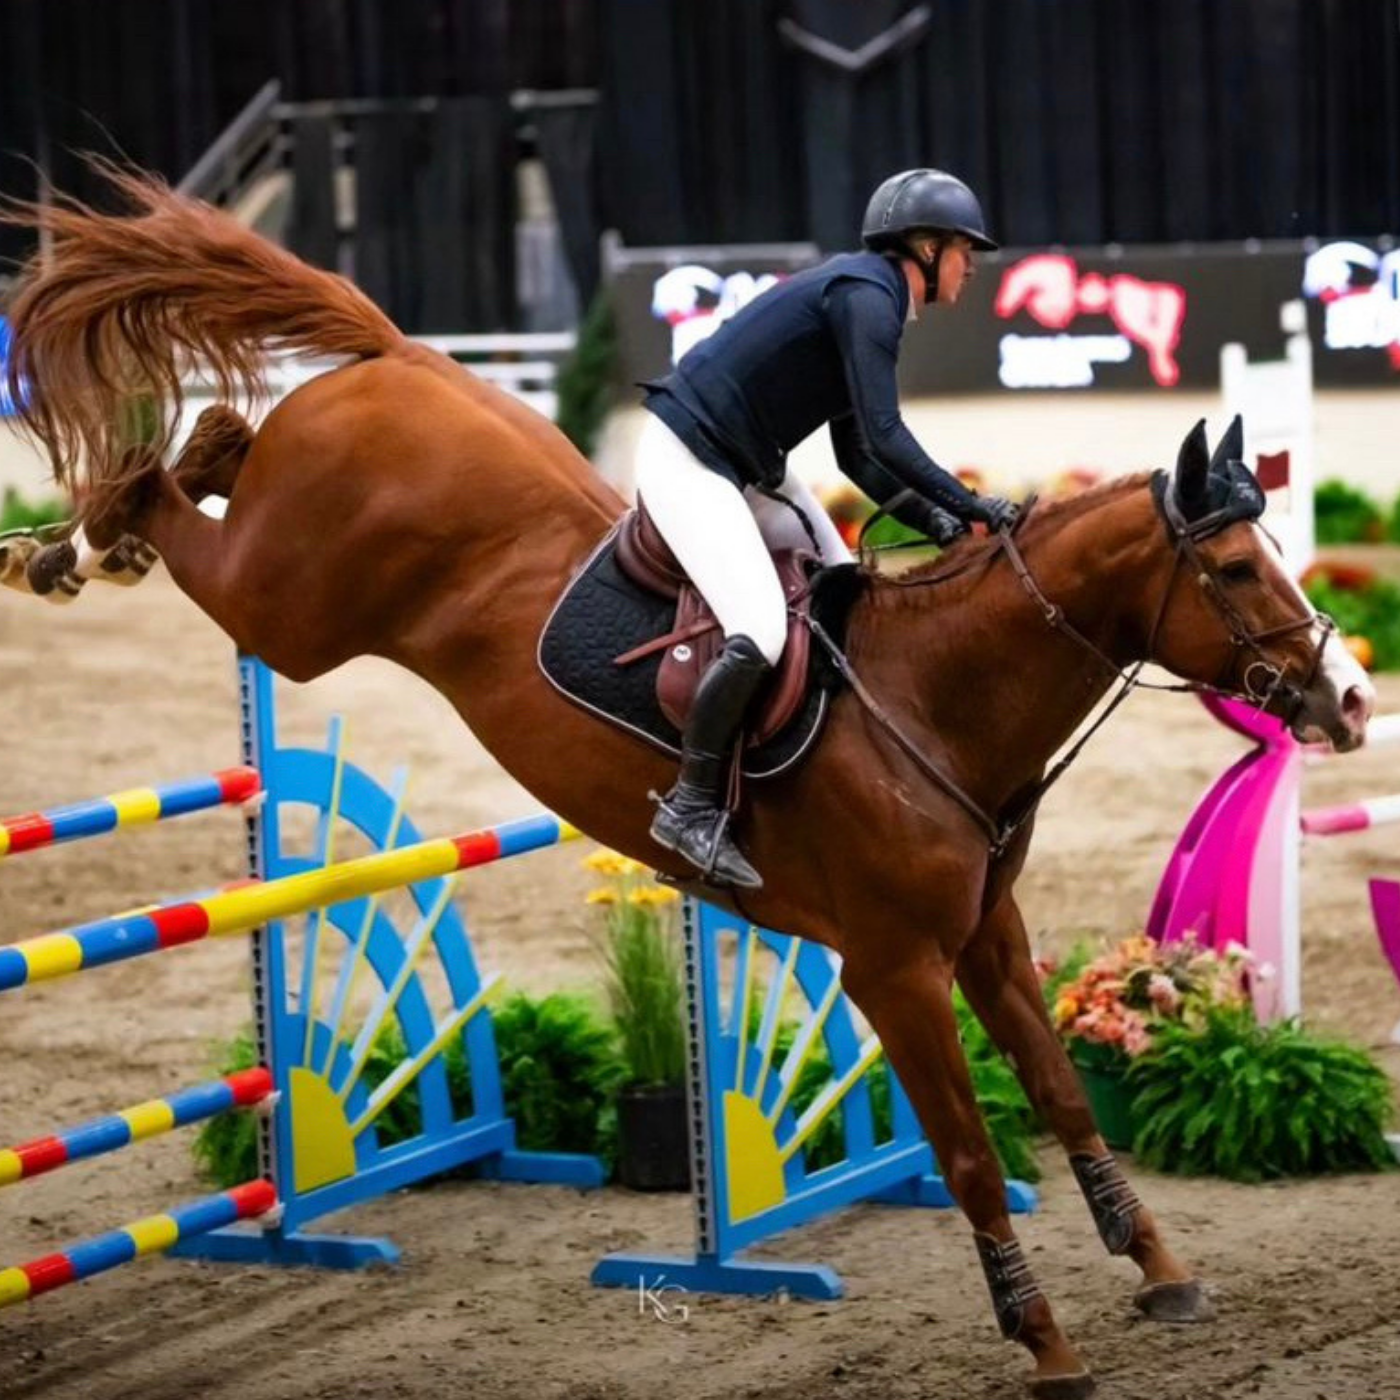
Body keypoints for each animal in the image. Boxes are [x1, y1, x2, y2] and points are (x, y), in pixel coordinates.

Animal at [0, 171, 1373, 1398]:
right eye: (1238, 567)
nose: (1349, 698)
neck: (935, 695)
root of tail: (396, 353)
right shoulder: (891, 967)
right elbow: (974, 1156)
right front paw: (1042, 1343)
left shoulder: (986, 932)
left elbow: (1062, 1096)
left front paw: (1159, 1266)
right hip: (285, 611)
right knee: (174, 487)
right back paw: (69, 550)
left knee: (215, 441)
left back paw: (79, 542)